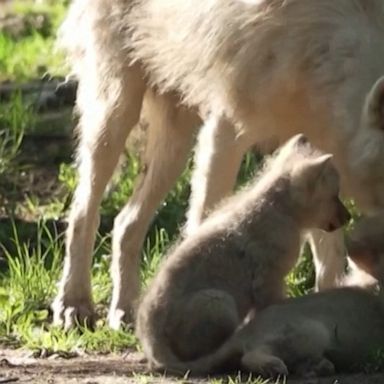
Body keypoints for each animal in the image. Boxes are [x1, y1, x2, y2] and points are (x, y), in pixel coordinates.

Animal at [53, 0, 384, 330]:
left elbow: (330, 250)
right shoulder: (228, 129)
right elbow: (205, 222)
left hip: (176, 140)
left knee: (125, 222)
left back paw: (124, 311)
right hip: (115, 113)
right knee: (84, 211)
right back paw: (74, 304)